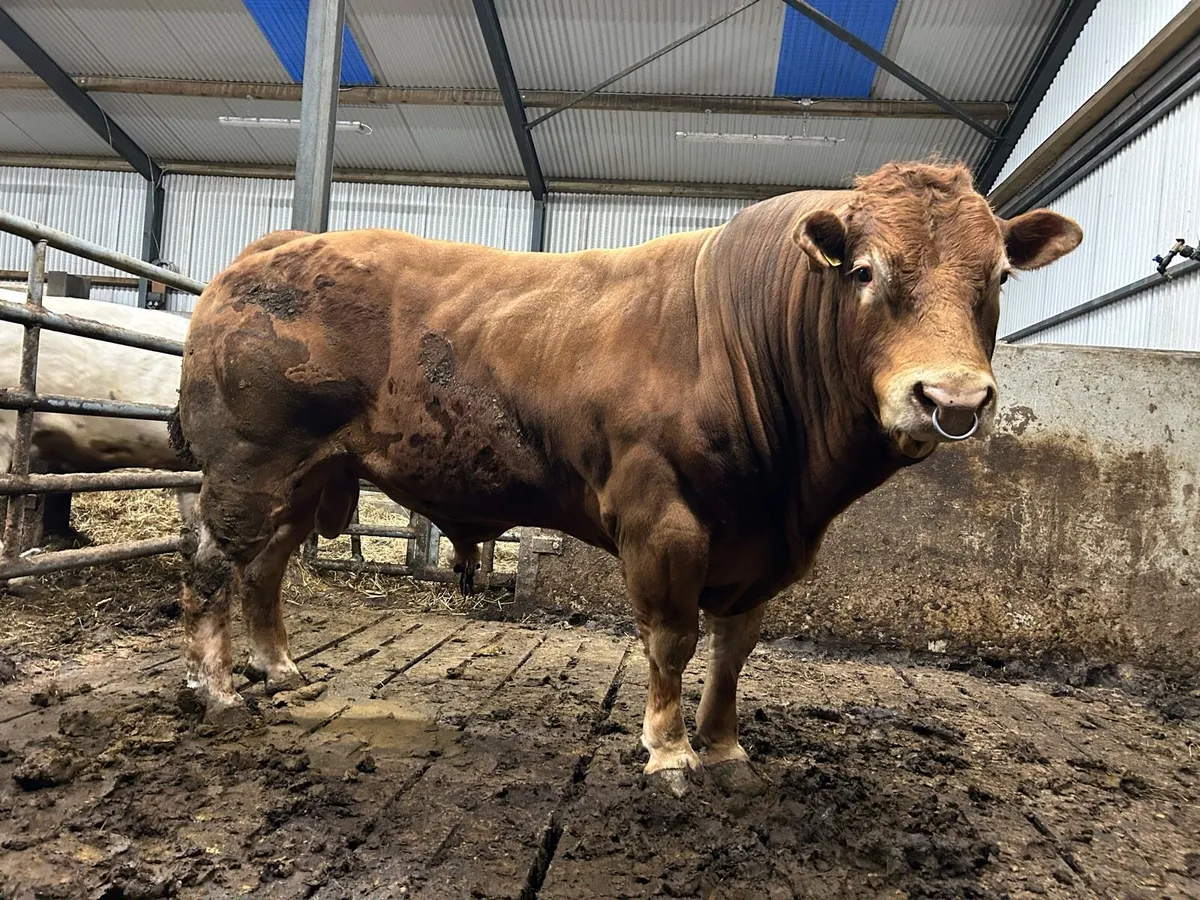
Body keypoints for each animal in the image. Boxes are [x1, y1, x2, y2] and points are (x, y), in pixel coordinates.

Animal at [172, 162, 1081, 783]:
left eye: (998, 275)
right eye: (866, 272)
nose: (952, 398)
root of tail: (282, 247)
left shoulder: (763, 549)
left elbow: (735, 646)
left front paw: (725, 746)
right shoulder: (662, 519)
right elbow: (673, 638)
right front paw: (670, 750)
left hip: (304, 477)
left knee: (267, 566)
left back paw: (280, 668)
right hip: (245, 467)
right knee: (212, 565)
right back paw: (217, 689)